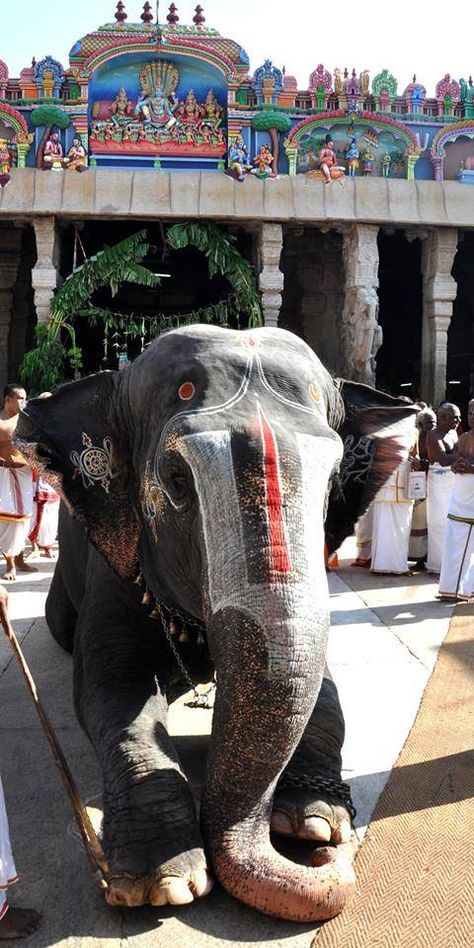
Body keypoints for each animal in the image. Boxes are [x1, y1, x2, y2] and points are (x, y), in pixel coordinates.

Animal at [18, 328, 416, 924]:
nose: (329, 856)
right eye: (177, 481)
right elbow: (109, 692)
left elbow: (322, 685)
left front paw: (314, 821)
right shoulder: (114, 573)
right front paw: (162, 883)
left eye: (332, 480)